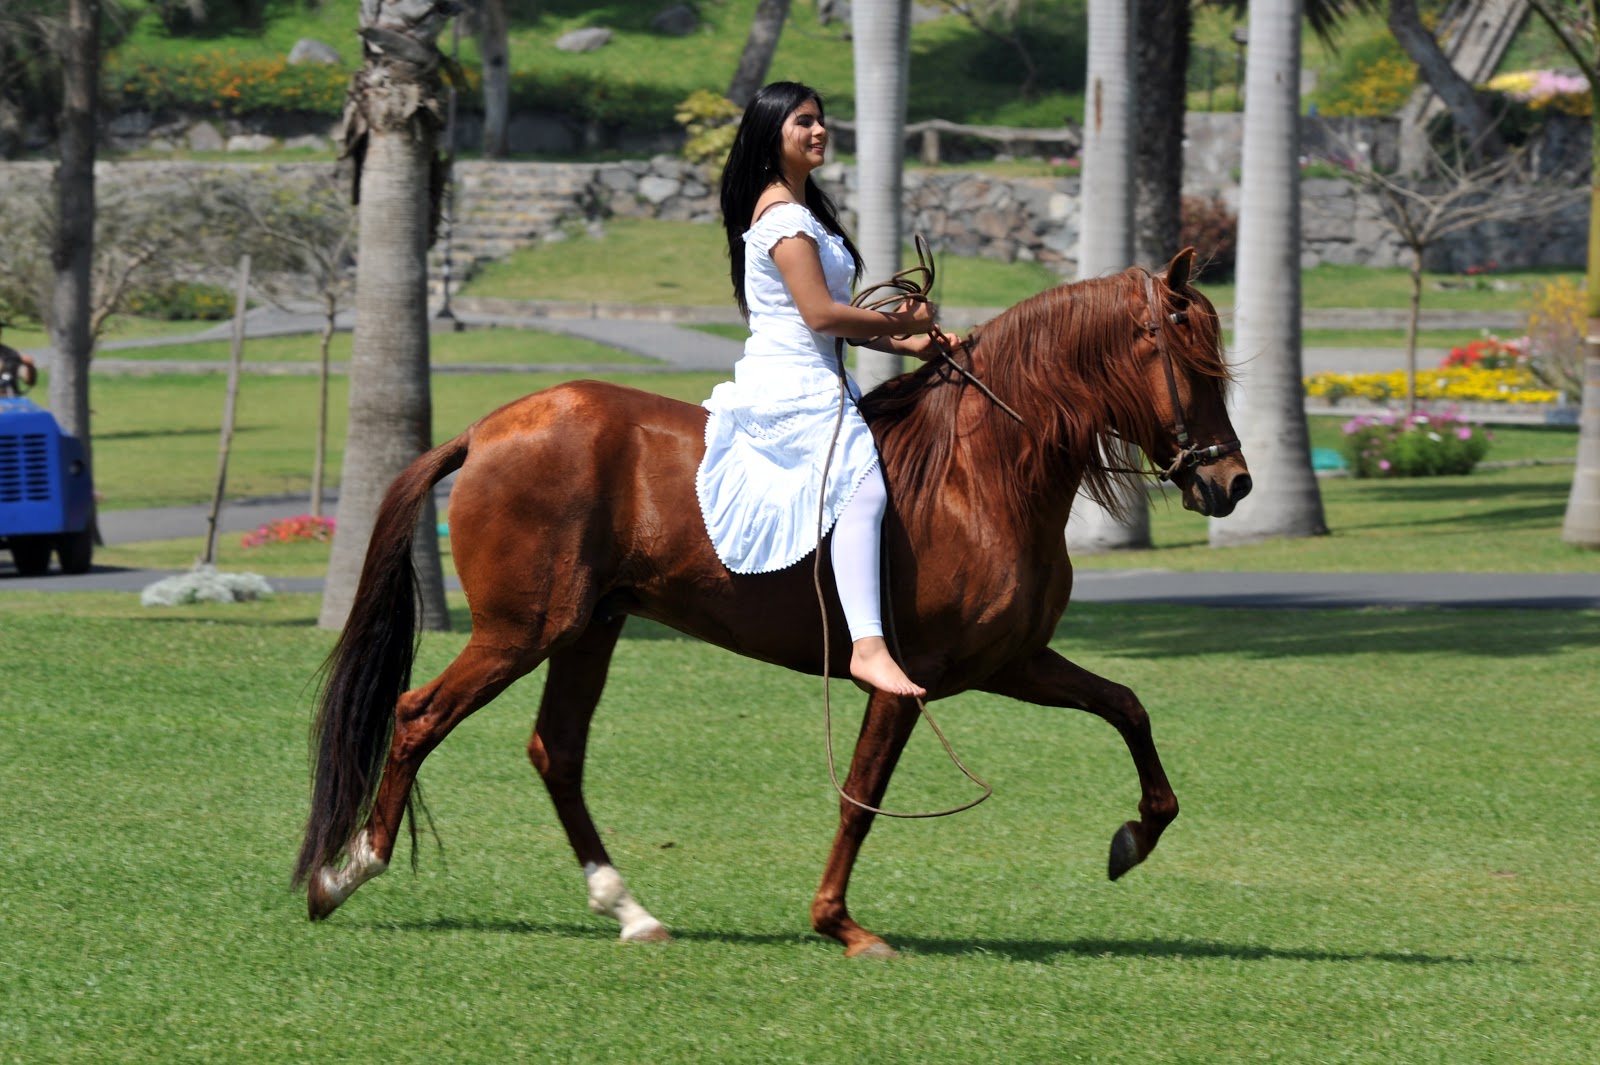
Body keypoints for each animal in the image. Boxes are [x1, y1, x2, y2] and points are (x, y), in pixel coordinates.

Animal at [292, 248, 1252, 958]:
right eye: (1192, 364)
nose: (1232, 483)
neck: (978, 475)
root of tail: (487, 429)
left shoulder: (1012, 662)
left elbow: (1127, 707)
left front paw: (1134, 838)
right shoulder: (908, 680)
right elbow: (861, 795)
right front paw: (841, 924)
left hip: (588, 628)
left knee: (555, 751)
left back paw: (628, 909)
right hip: (520, 631)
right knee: (418, 715)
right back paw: (346, 870)